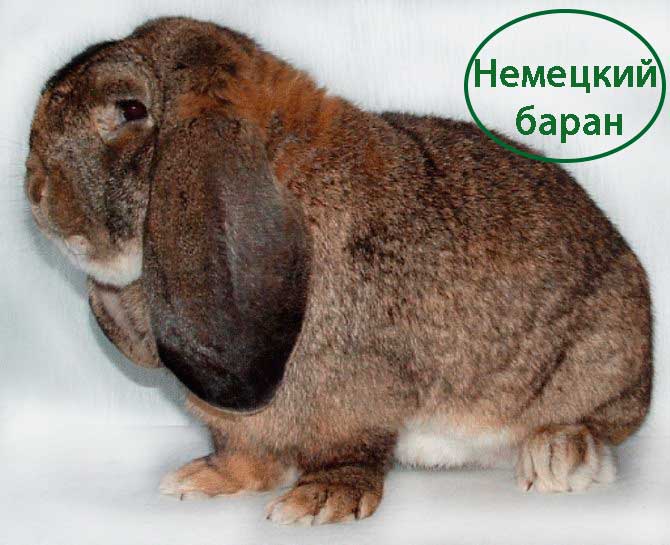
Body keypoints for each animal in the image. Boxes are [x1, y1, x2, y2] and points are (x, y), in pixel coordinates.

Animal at [25, 16, 652, 525]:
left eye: (129, 109)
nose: (35, 191)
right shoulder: (241, 422)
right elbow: (246, 454)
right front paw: (203, 479)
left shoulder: (353, 401)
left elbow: (347, 453)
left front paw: (319, 503)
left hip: (600, 358)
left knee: (600, 425)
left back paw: (556, 458)